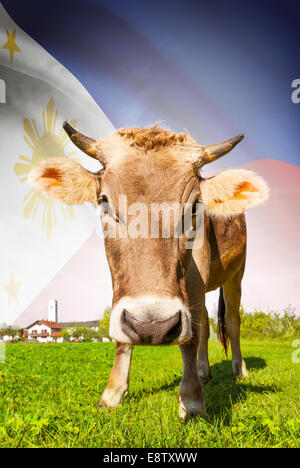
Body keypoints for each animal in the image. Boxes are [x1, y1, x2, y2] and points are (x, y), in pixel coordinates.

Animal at [29, 121, 270, 420]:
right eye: (104, 201)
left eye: (194, 206)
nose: (152, 327)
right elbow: (126, 335)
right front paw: (112, 393)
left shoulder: (196, 278)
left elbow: (190, 337)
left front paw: (192, 400)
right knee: (204, 323)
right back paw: (204, 371)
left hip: (236, 275)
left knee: (232, 322)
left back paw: (239, 370)